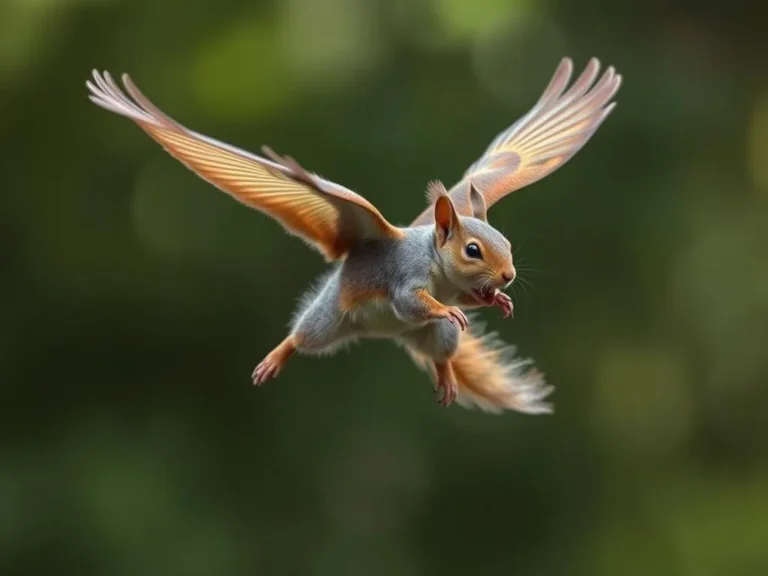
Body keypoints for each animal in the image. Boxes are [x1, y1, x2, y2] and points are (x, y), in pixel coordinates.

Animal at [87, 56, 620, 414]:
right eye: (473, 249)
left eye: (507, 246)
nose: (507, 276)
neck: (437, 264)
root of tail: (383, 334)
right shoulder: (405, 279)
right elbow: (413, 300)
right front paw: (453, 303)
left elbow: (508, 164)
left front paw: (495, 301)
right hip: (332, 318)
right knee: (304, 336)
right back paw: (278, 356)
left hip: (435, 339)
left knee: (441, 354)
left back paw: (447, 376)